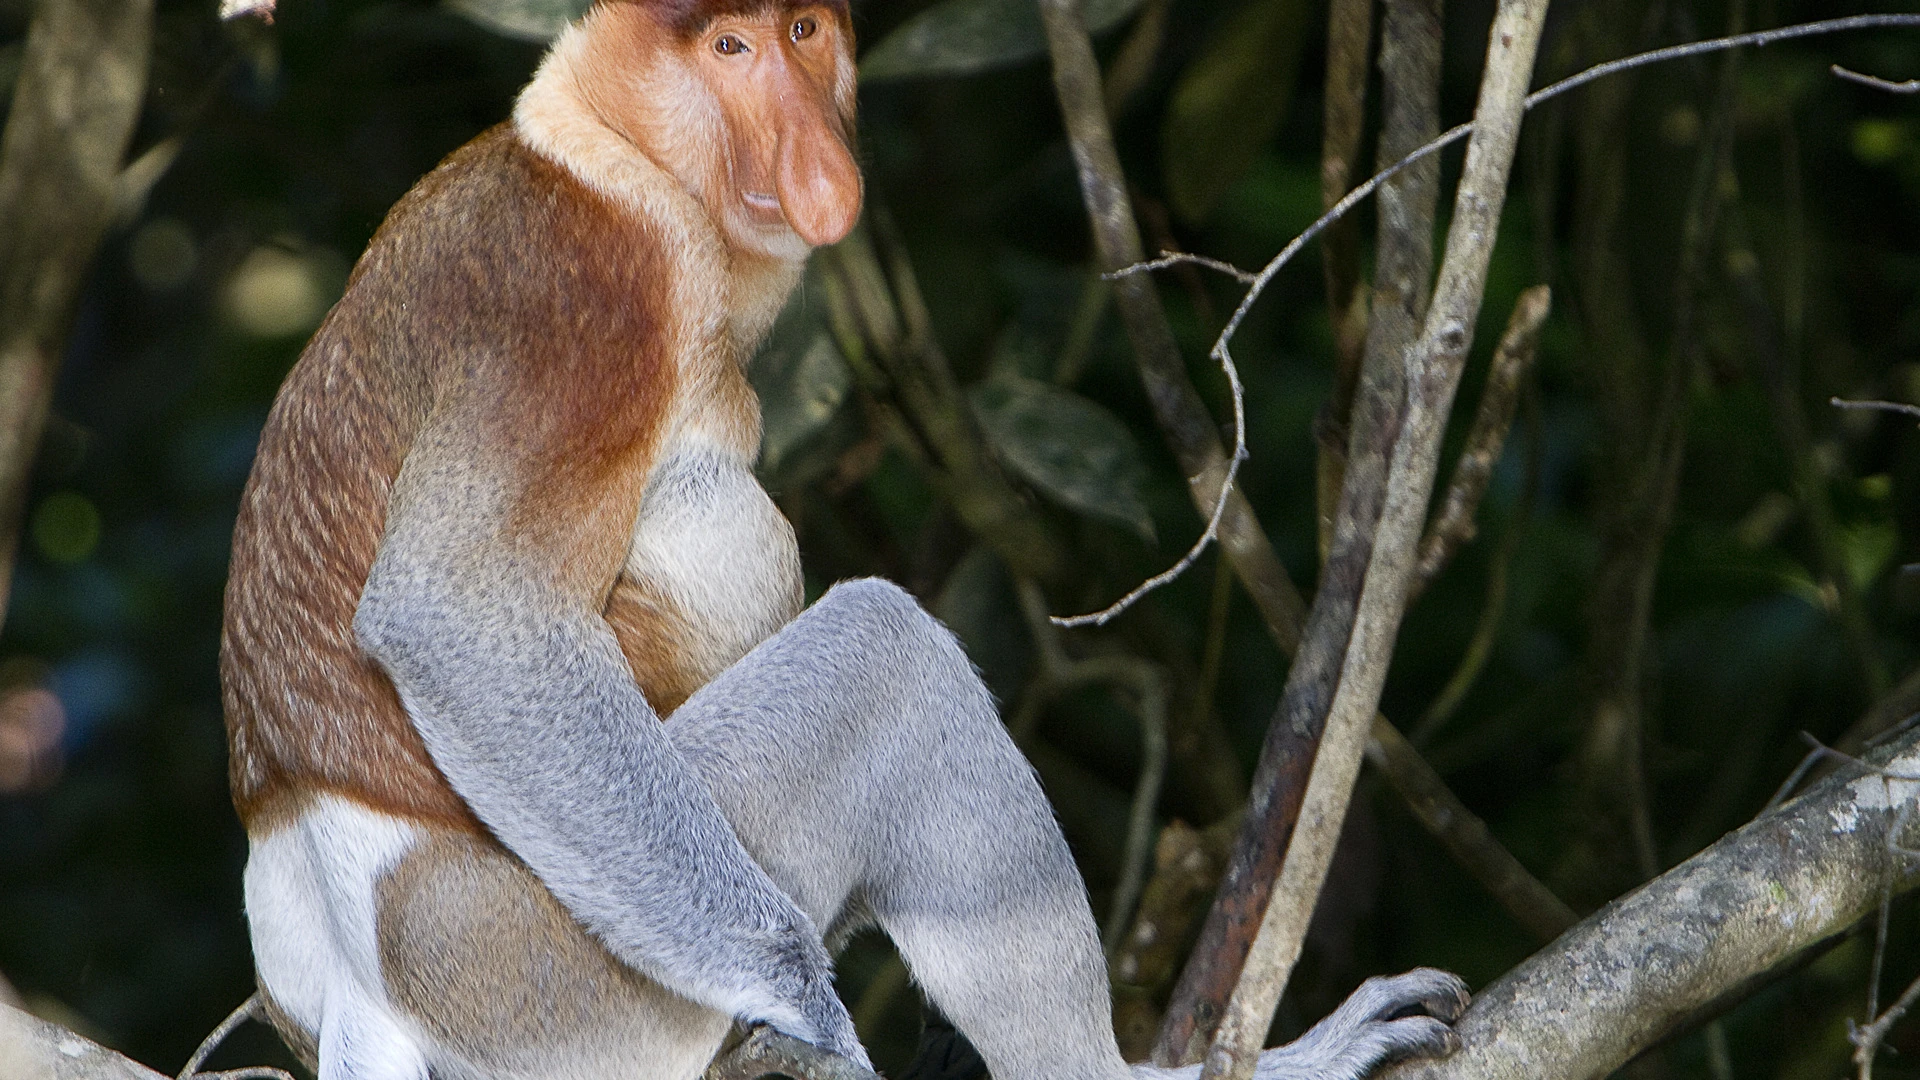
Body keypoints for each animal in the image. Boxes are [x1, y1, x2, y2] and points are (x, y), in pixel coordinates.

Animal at [217, 2, 1459, 1076]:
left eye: (805, 30)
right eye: (727, 46)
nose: (817, 159)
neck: (612, 150)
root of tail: (352, 986)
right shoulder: (579, 296)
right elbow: (454, 614)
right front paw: (804, 996)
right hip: (551, 973)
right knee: (885, 653)